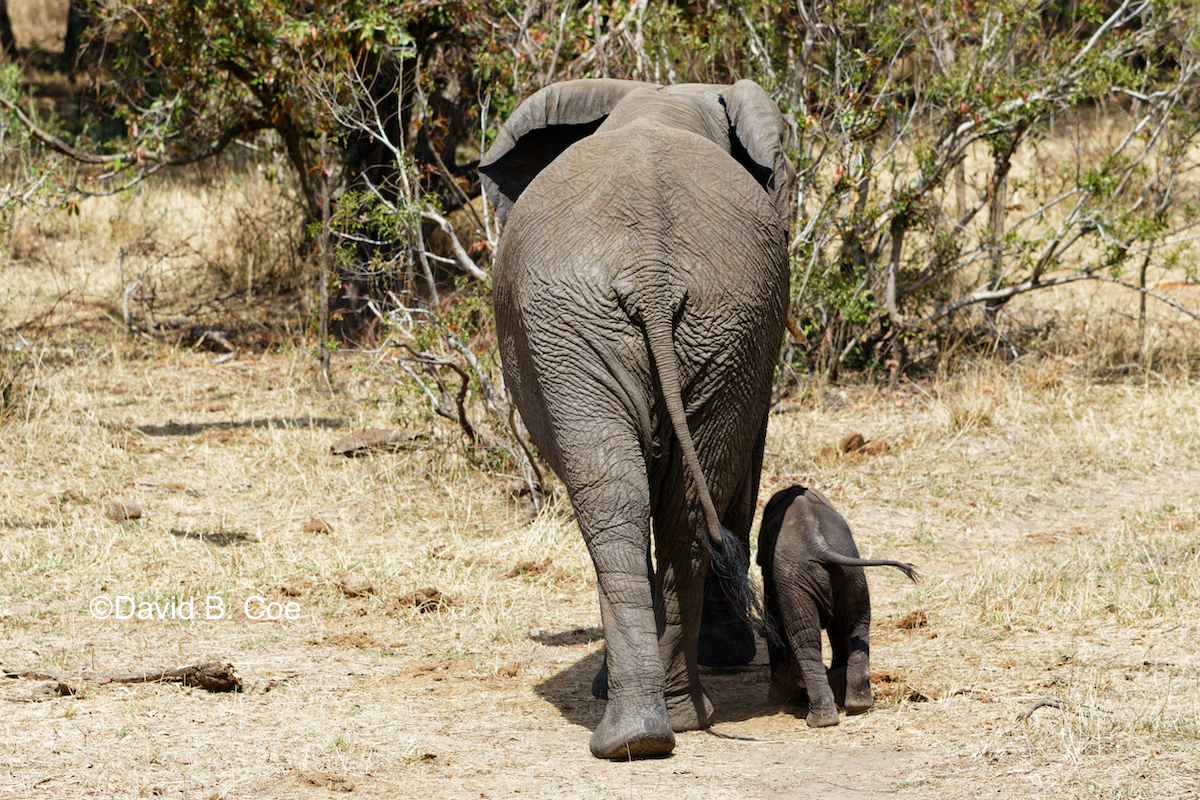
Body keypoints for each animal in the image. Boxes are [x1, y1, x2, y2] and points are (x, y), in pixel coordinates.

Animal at [477, 77, 796, 762]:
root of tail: (653, 275)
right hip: (614, 325)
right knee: (649, 499)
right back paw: (655, 729)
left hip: (701, 322)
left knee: (634, 497)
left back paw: (649, 728)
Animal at [758, 484, 916, 729]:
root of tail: (819, 547)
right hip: (851, 573)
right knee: (856, 626)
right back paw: (857, 705)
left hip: (800, 580)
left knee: (806, 640)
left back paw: (819, 720)